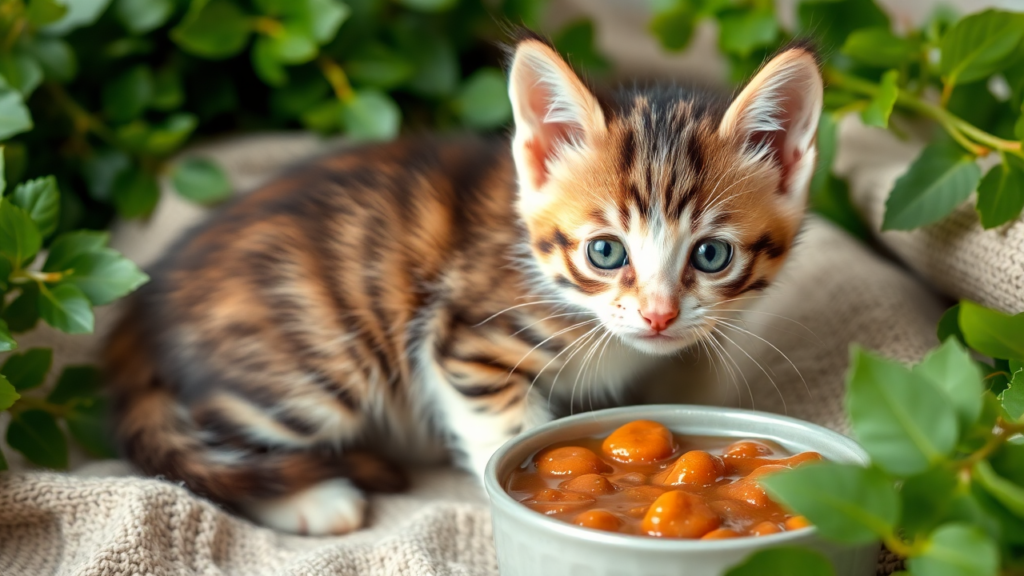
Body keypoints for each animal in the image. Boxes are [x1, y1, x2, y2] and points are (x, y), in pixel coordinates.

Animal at [103, 31, 823, 532]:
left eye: (711, 256)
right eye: (604, 251)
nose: (658, 316)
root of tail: (143, 304)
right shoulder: (466, 340)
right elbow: (503, 431)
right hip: (315, 365)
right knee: (208, 453)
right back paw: (315, 501)